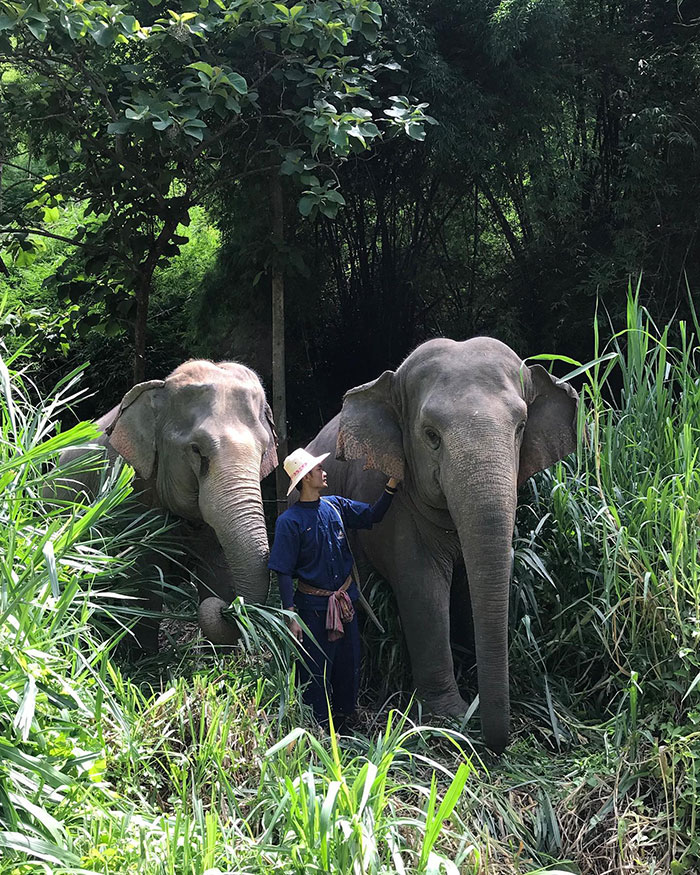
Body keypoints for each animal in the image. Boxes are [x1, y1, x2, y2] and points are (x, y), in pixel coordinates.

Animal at [51, 359, 278, 650]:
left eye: (263, 451)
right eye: (196, 450)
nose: (226, 608)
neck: (162, 387)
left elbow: (217, 567)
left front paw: (220, 655)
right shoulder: (127, 486)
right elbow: (143, 575)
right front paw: (145, 657)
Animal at [304, 337, 578, 753]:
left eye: (520, 427)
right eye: (431, 435)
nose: (496, 743)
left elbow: (472, 588)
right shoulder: (394, 511)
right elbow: (423, 590)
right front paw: (450, 717)